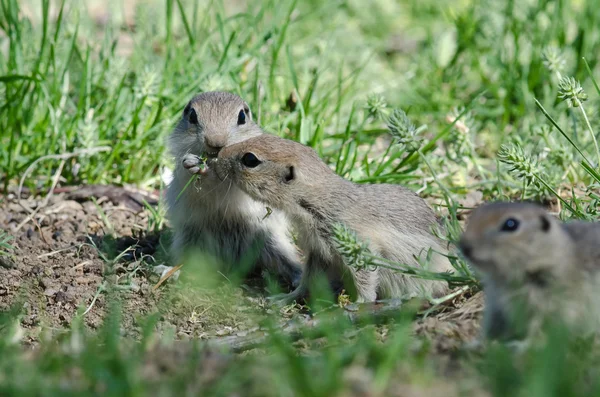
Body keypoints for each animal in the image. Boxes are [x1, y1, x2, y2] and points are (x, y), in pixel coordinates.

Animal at [164, 91, 302, 286]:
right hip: (189, 240)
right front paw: (193, 164)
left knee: (286, 260)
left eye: (242, 117)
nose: (216, 143)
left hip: (271, 240)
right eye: (192, 116)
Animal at [209, 131, 452, 302]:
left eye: (250, 159)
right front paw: (286, 297)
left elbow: (365, 275)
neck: (317, 200)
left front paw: (361, 303)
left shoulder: (357, 243)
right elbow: (308, 279)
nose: (218, 156)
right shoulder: (318, 252)